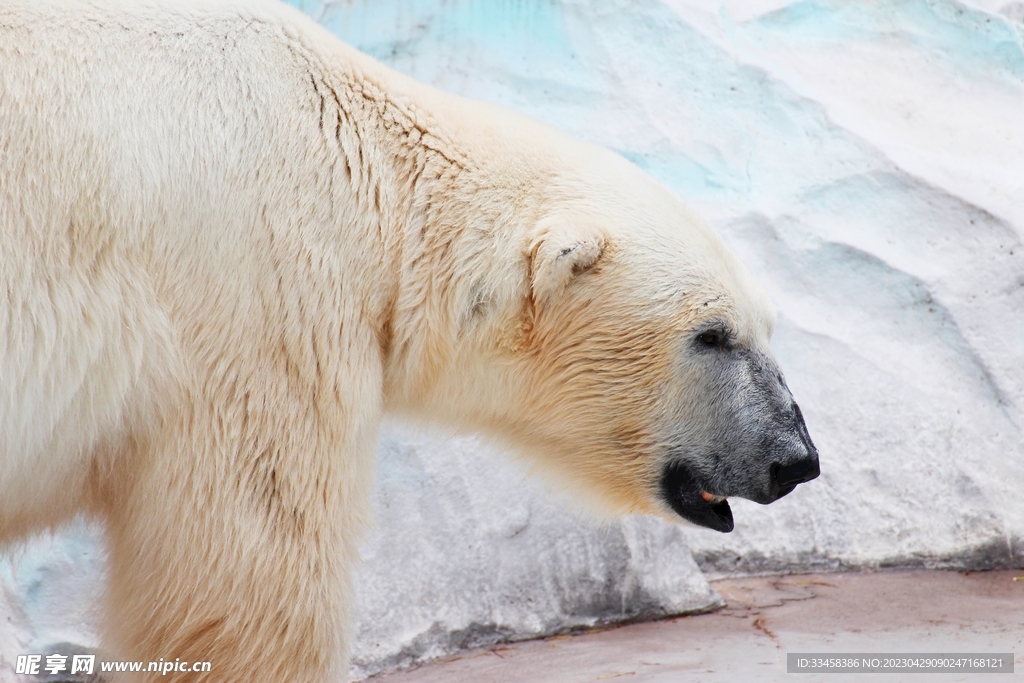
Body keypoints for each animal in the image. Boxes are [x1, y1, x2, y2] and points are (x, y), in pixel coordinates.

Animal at [0, 0, 819, 680]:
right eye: (711, 335)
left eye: (764, 323)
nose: (796, 457)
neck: (365, 174)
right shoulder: (256, 301)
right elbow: (253, 576)